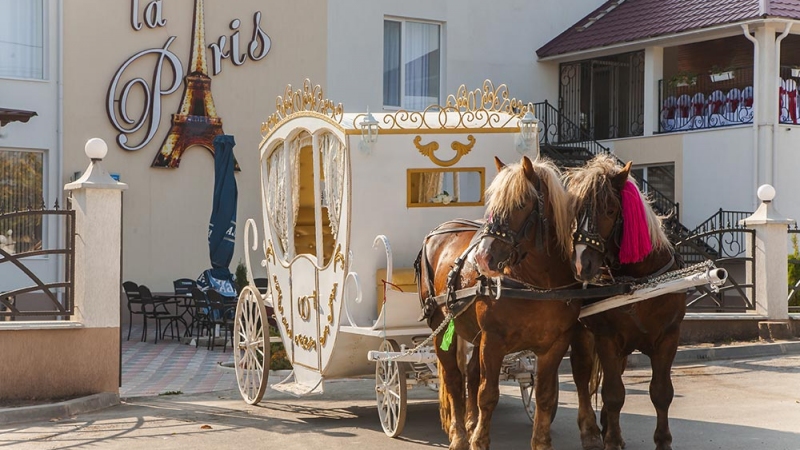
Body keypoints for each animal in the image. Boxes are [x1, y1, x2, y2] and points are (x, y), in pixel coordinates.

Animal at [418, 156, 600, 450]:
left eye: (520, 203)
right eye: (493, 203)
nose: (482, 258)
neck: (536, 284)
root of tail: (440, 230)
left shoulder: (555, 344)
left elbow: (545, 395)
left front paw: (541, 442)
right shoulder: (493, 341)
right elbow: (488, 394)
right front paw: (479, 441)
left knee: (470, 374)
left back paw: (470, 423)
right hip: (440, 325)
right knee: (454, 379)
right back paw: (460, 435)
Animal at [564, 156, 684, 450]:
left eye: (609, 210)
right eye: (575, 212)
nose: (581, 265)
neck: (640, 282)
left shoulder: (669, 337)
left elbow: (661, 392)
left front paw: (663, 440)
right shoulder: (606, 337)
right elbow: (614, 393)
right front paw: (612, 440)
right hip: (582, 335)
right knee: (582, 376)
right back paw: (591, 431)